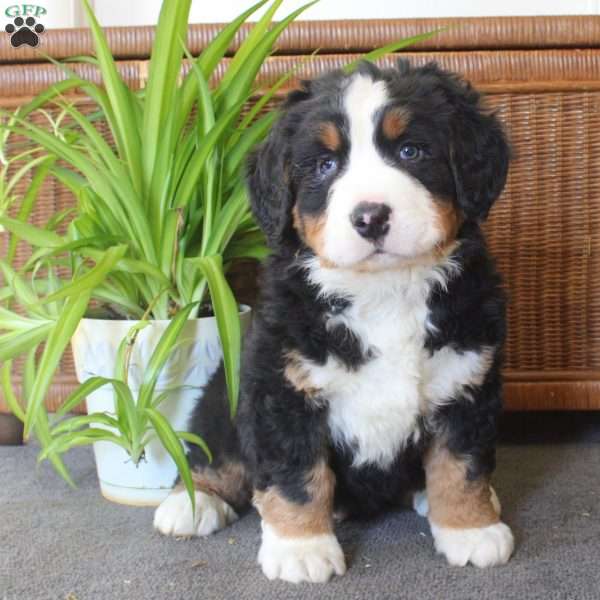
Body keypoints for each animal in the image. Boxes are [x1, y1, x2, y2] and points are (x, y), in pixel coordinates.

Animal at [152, 62, 512, 584]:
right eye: (324, 165)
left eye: (411, 151)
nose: (371, 217)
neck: (384, 292)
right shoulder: (282, 389)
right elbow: (297, 475)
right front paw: (301, 548)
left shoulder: (466, 382)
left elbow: (461, 465)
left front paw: (471, 528)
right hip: (223, 393)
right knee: (217, 455)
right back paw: (192, 503)